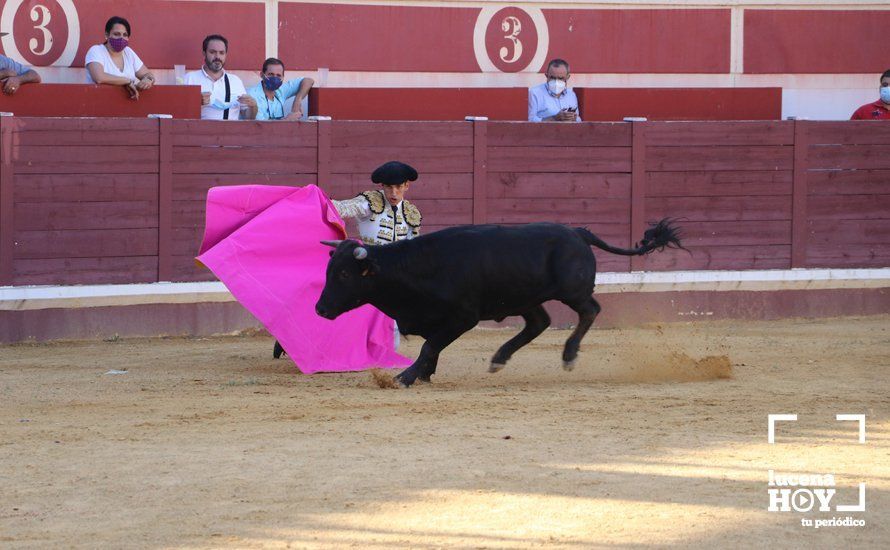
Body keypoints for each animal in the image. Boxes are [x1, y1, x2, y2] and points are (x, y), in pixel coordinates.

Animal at [316, 220, 684, 388]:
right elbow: (431, 345)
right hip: (525, 297)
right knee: (538, 323)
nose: (320, 309)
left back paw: (568, 356)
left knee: (590, 311)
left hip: (571, 291)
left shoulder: (463, 316)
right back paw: (498, 358)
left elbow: (430, 345)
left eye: (345, 274)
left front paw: (406, 376)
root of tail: (578, 232)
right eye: (329, 270)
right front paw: (424, 374)